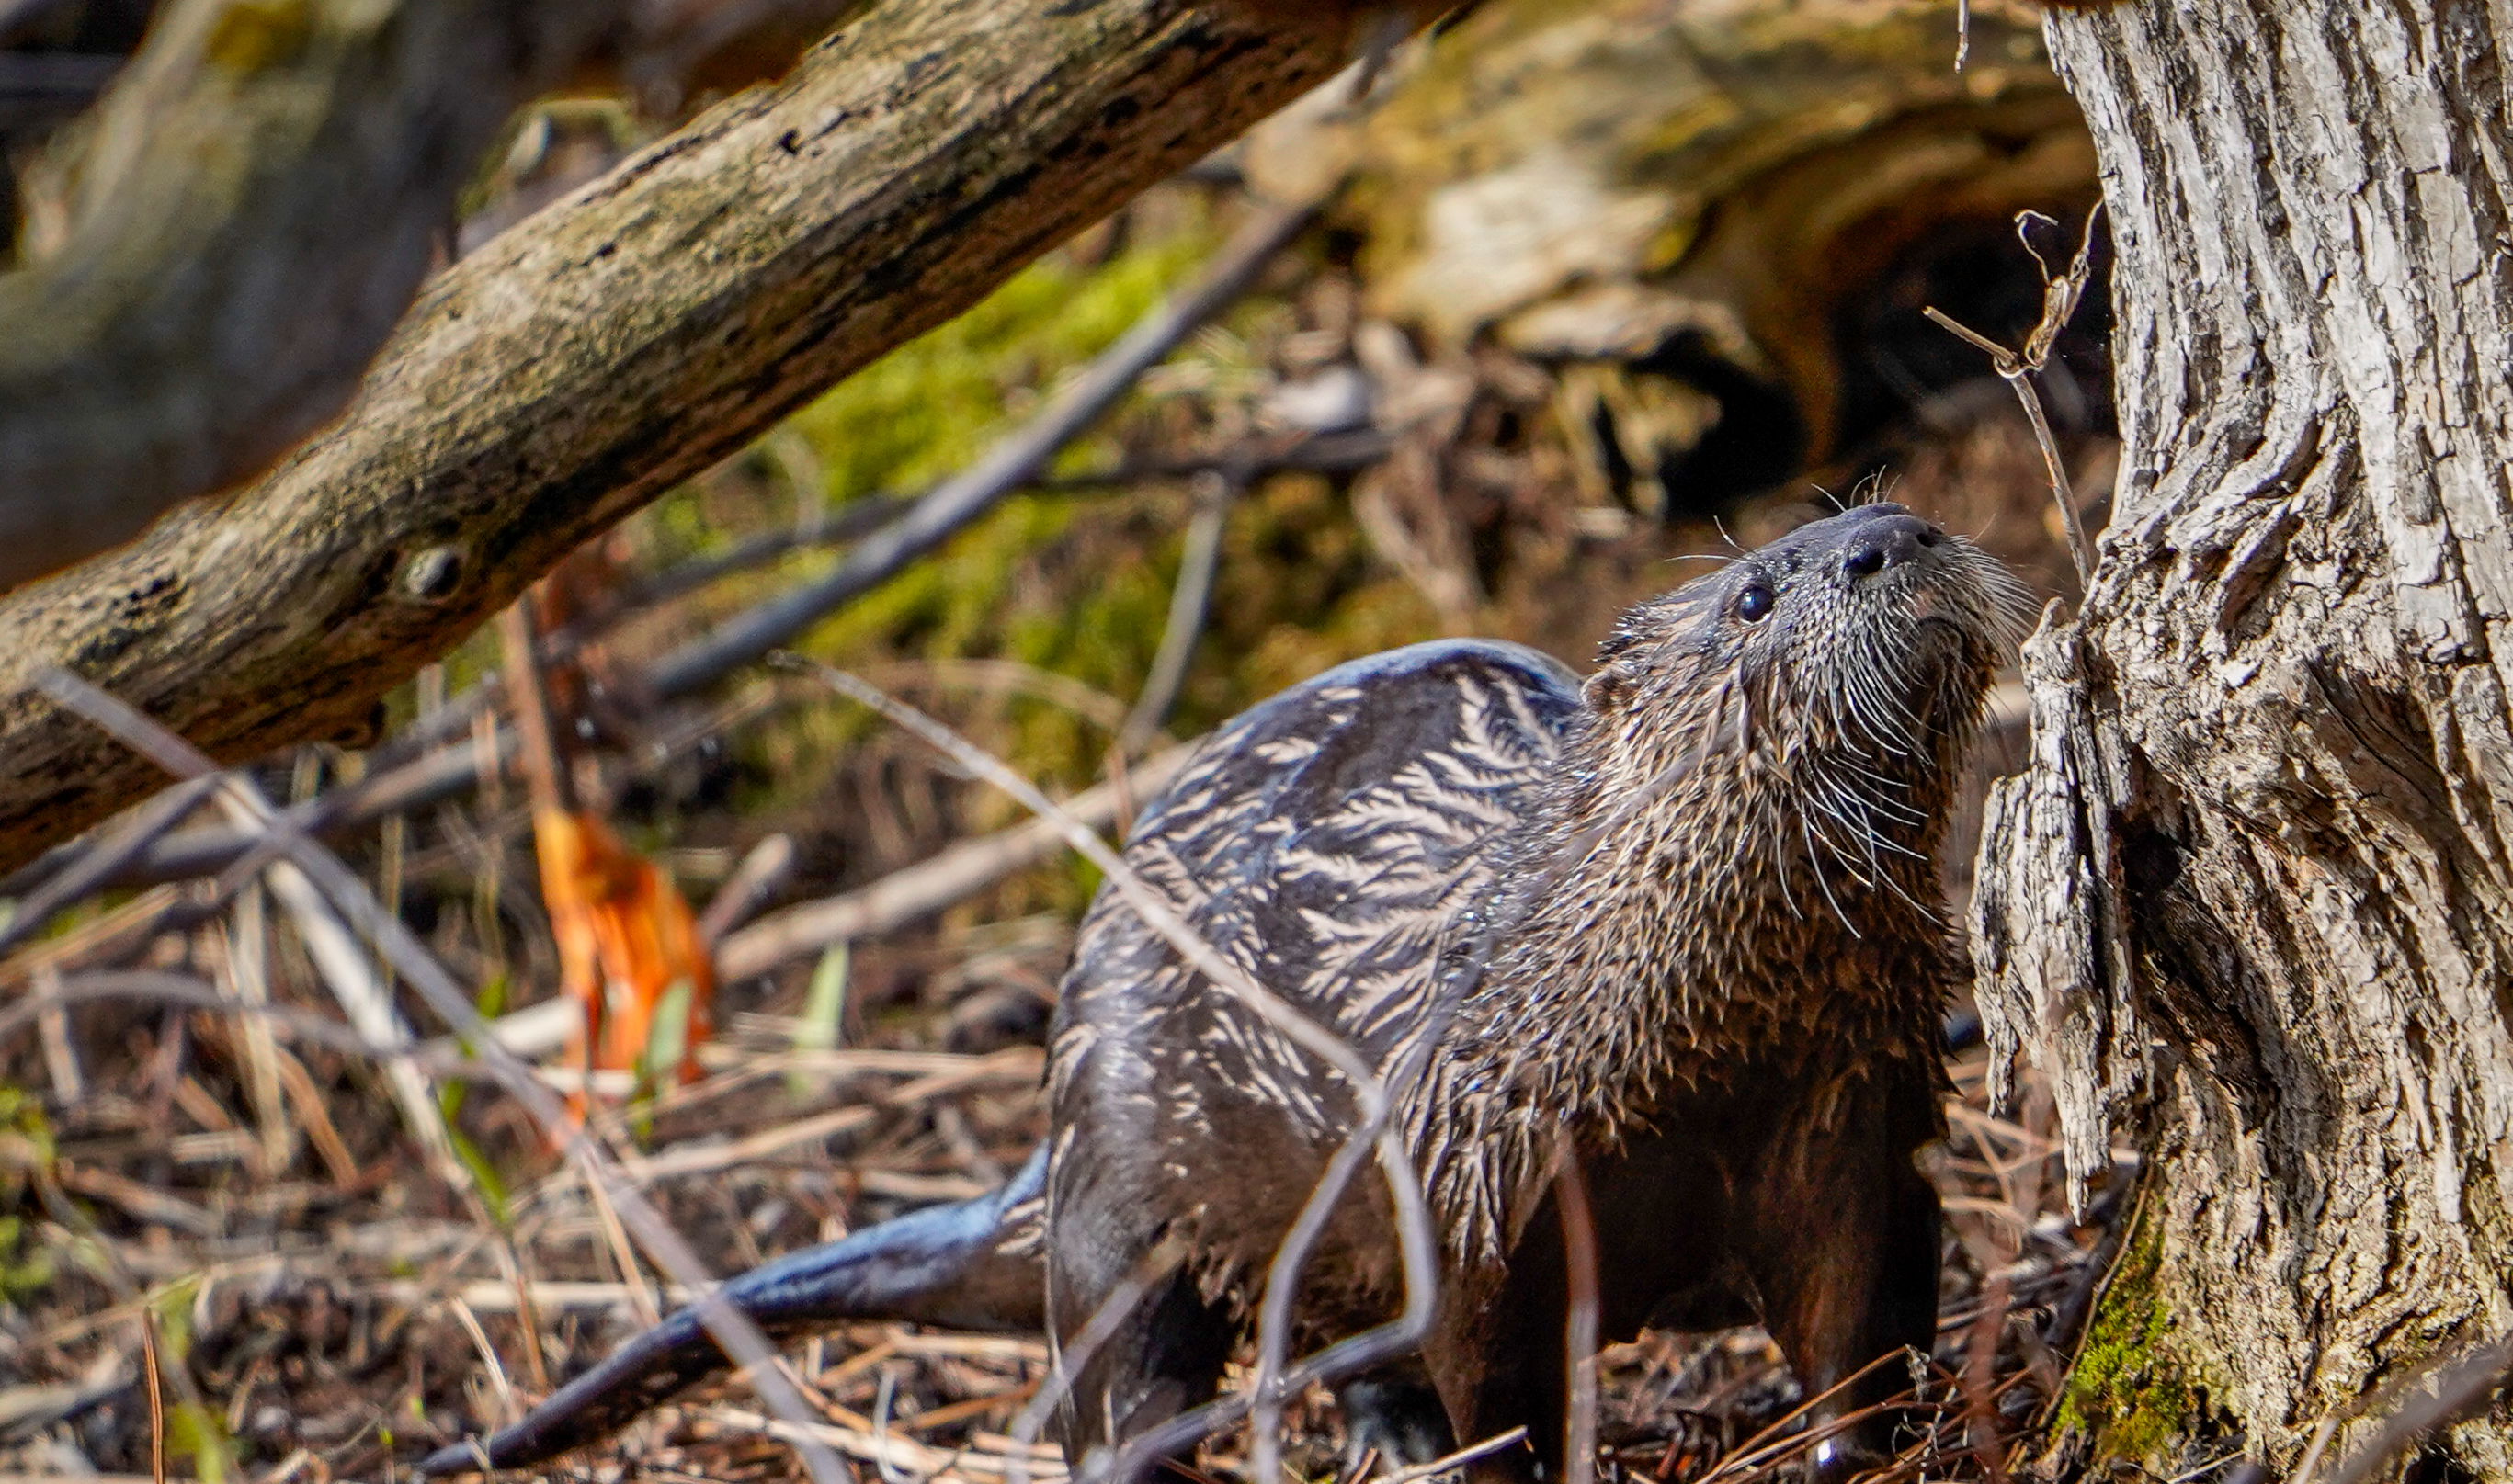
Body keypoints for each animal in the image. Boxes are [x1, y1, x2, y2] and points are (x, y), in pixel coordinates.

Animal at [420, 502, 2029, 1481]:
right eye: (1758, 588)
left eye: (1869, 507)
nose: (1887, 538)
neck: (1653, 1033)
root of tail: (1051, 1120)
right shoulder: (1468, 1160)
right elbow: (1496, 1372)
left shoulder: (1844, 1106)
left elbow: (1857, 1307)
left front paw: (1859, 1446)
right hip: (1123, 1201)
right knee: (1113, 1391)